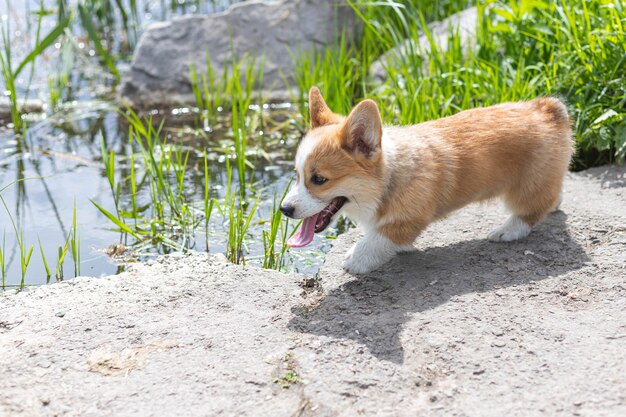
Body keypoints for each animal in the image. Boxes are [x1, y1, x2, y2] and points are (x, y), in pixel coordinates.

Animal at [280, 87, 572, 272]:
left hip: (527, 185)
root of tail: (547, 109)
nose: (284, 209)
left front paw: (357, 258)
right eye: (296, 175)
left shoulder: (409, 218)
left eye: (319, 179)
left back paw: (507, 230)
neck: (387, 178)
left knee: (530, 210)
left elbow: (378, 237)